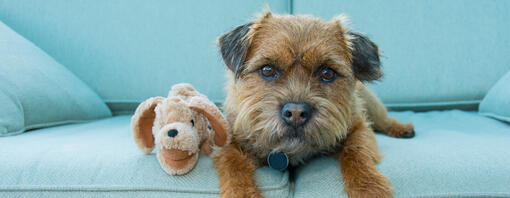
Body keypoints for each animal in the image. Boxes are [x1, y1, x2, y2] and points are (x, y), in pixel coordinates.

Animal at [211, 10, 414, 197]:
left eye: (327, 73)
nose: (296, 113)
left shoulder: (358, 126)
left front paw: (369, 187)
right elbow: (233, 163)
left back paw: (401, 128)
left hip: (372, 104)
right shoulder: (229, 140)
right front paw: (241, 192)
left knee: (383, 120)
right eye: (267, 70)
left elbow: (357, 151)